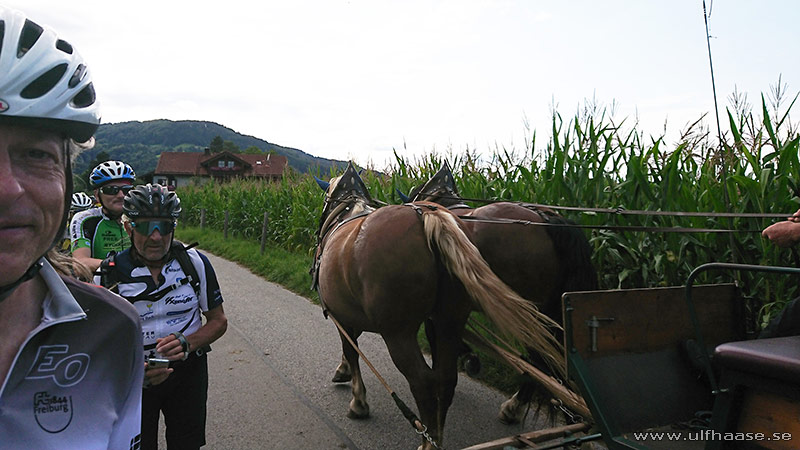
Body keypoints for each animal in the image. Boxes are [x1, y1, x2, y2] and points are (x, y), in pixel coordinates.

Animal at [310, 163, 564, 450]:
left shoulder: (341, 314)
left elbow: (351, 350)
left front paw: (357, 399)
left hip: (399, 332)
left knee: (424, 381)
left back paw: (435, 437)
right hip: (457, 318)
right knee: (446, 378)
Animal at [406, 163, 600, 426]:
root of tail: (547, 220)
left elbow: (436, 337)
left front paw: (464, 358)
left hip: (528, 313)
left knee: (541, 359)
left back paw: (514, 407)